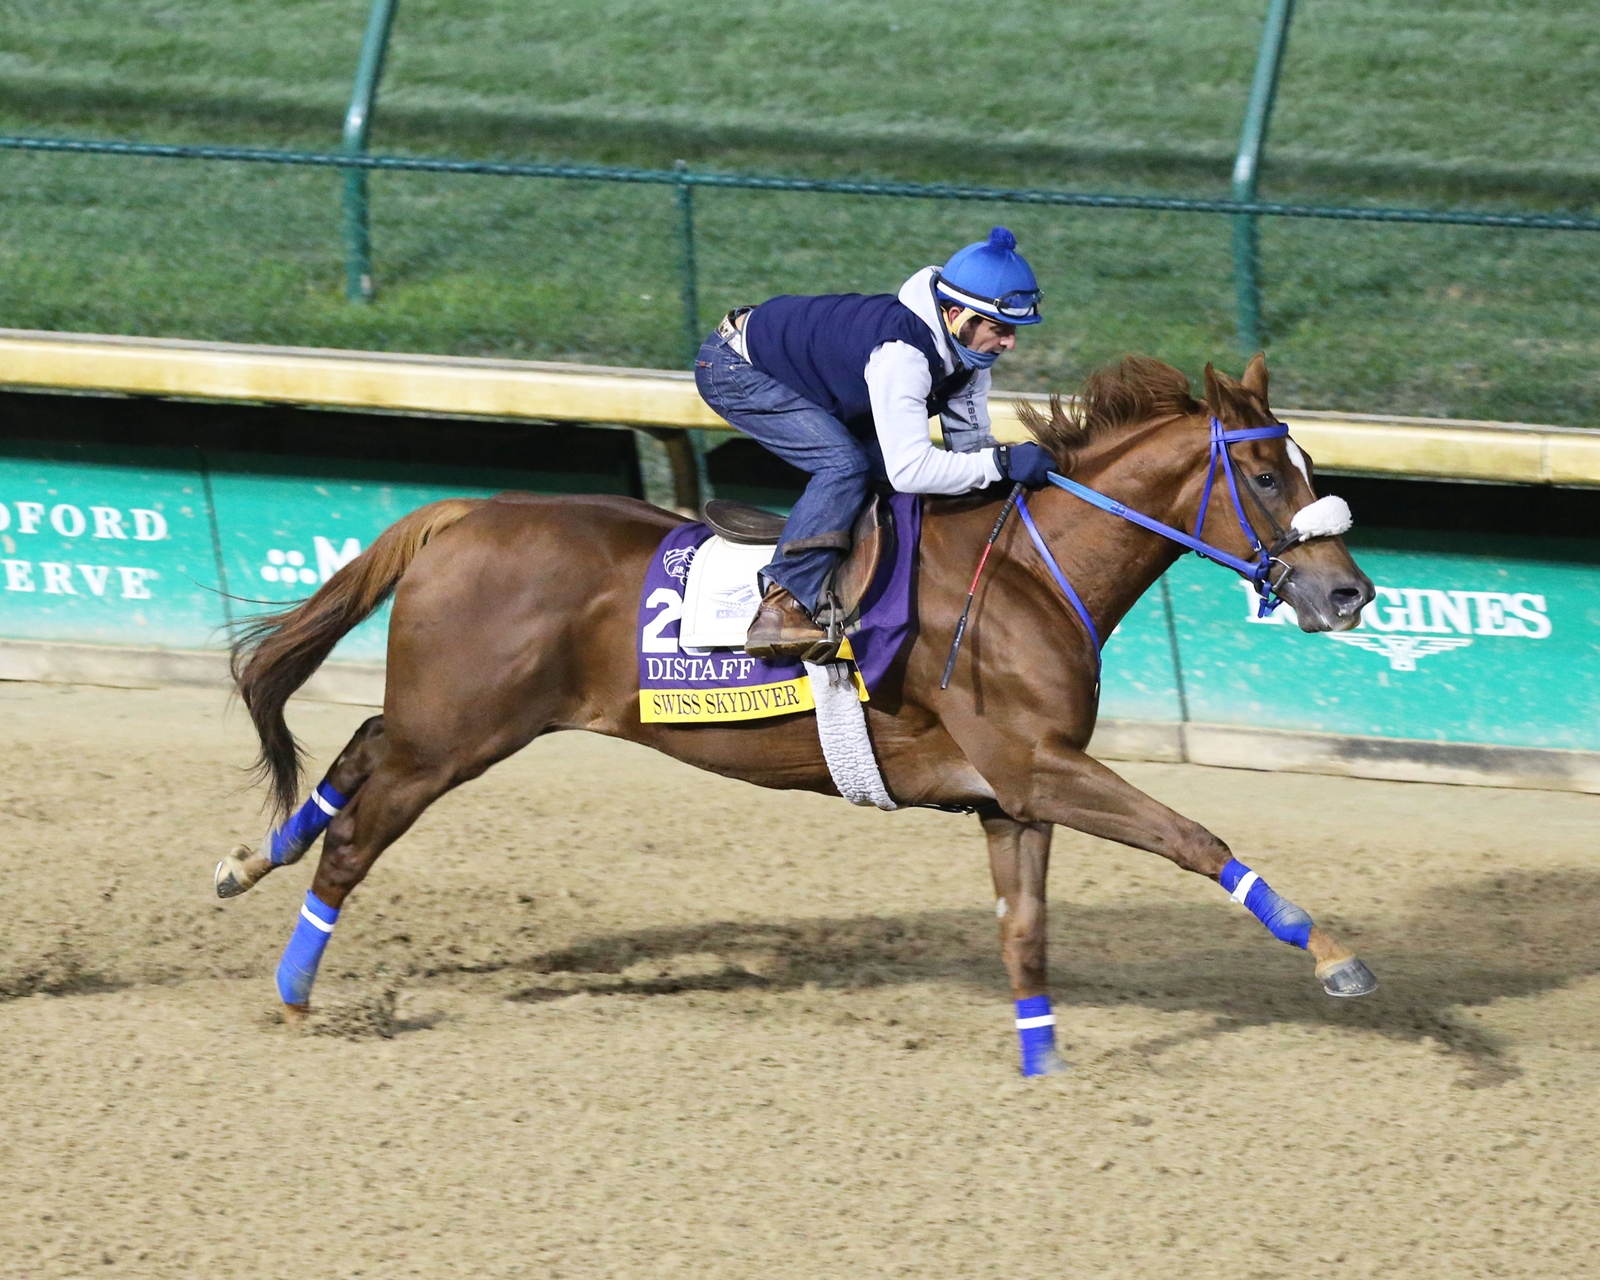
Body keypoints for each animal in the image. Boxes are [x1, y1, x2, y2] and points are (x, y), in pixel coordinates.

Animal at [222, 355, 1376, 1075]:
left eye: (1310, 466)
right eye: (1264, 473)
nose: (1349, 593)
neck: (1022, 573)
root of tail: (462, 512)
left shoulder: (1010, 796)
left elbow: (1026, 931)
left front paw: (1043, 1058)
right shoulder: (1038, 764)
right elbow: (1194, 835)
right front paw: (1331, 955)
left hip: (449, 718)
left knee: (356, 753)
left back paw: (246, 860)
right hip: (458, 732)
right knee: (355, 840)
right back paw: (293, 989)